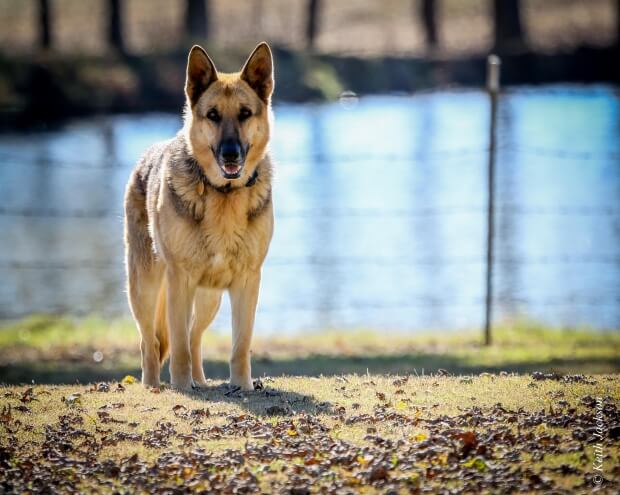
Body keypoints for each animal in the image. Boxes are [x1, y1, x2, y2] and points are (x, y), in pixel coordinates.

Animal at [123, 42, 274, 392]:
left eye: (245, 114)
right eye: (213, 115)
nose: (230, 153)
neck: (224, 194)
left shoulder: (247, 282)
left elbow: (240, 344)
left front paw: (242, 387)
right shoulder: (180, 280)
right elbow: (176, 345)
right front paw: (180, 386)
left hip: (209, 298)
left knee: (194, 338)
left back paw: (201, 383)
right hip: (145, 288)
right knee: (151, 342)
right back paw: (153, 385)